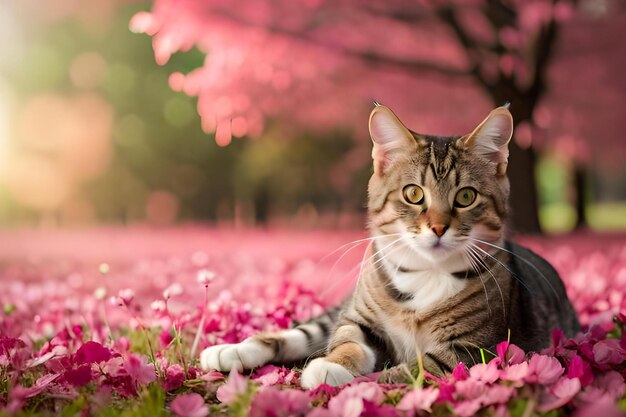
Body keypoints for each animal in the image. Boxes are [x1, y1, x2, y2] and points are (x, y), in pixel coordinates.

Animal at [197, 103, 576, 386]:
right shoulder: (359, 319)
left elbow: (414, 369)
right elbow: (348, 339)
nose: (438, 227)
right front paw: (334, 363)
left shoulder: (475, 350)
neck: (424, 274)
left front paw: (358, 379)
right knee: (306, 331)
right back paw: (231, 350)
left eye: (466, 197)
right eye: (413, 194)